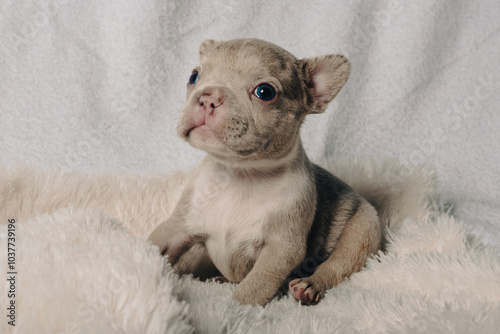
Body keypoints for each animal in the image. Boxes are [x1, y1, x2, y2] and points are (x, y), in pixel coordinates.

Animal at [146, 38, 380, 306]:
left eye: (265, 92)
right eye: (194, 76)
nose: (208, 97)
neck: (239, 174)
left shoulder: (280, 250)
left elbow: (254, 287)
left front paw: (236, 308)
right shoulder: (177, 228)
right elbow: (155, 244)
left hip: (363, 229)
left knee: (339, 264)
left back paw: (309, 286)